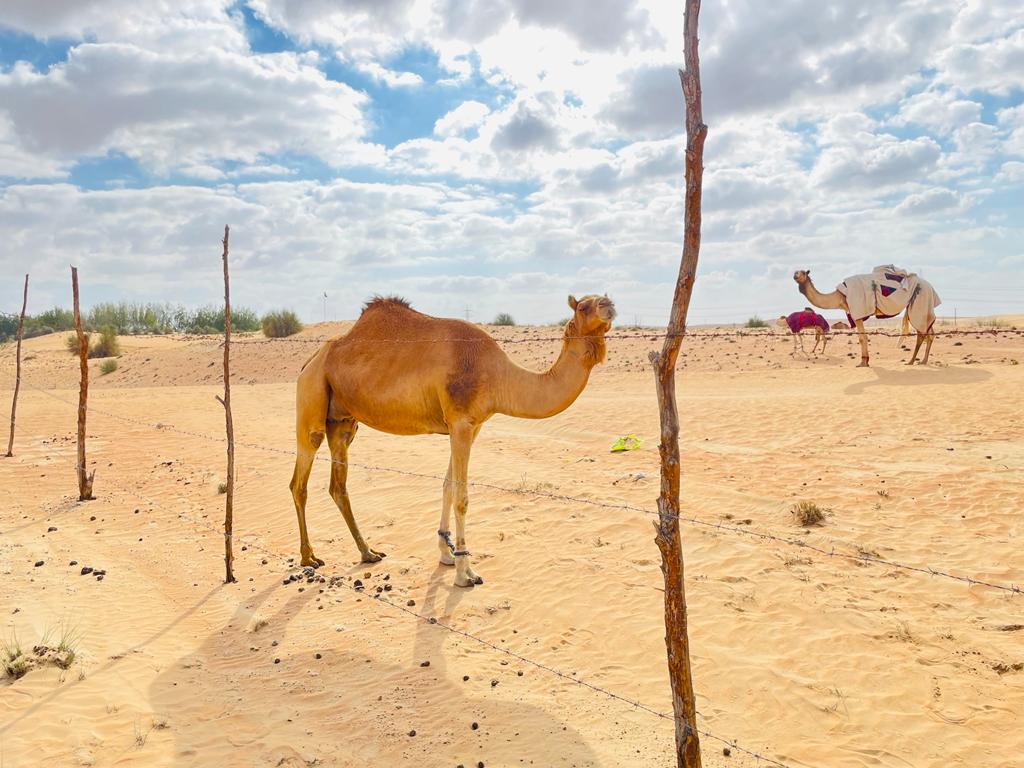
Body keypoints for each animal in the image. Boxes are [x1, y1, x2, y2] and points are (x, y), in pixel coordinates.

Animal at [289, 294, 616, 587]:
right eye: (583, 306)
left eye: (603, 298)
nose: (609, 305)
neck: (498, 375)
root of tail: (309, 362)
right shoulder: (460, 423)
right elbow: (461, 496)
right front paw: (464, 572)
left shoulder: (471, 426)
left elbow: (447, 486)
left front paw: (446, 555)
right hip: (312, 396)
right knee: (300, 481)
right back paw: (308, 558)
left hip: (343, 421)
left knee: (338, 485)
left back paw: (368, 552)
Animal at [794, 267, 940, 367]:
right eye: (796, 271)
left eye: (803, 272)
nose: (794, 274)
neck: (840, 296)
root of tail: (931, 287)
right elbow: (863, 336)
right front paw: (866, 361)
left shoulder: (857, 311)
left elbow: (862, 337)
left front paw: (863, 362)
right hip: (924, 308)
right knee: (930, 332)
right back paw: (923, 360)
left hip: (919, 304)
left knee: (921, 334)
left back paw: (911, 361)